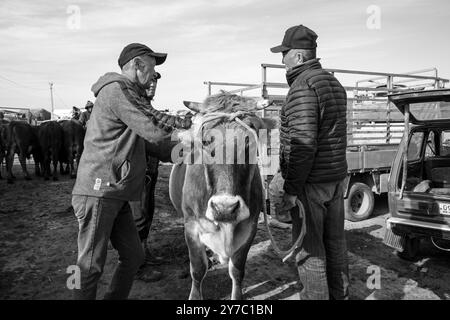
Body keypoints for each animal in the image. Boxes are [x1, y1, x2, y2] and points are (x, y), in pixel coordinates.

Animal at [168, 93, 276, 300]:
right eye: (205, 141)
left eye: (249, 143)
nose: (225, 208)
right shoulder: (191, 227)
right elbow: (198, 270)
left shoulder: (249, 227)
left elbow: (237, 271)